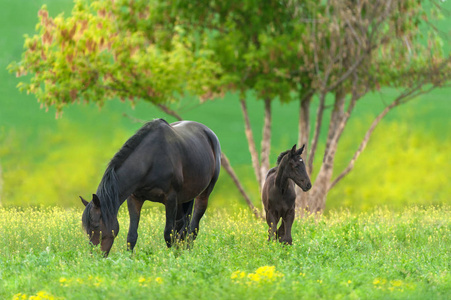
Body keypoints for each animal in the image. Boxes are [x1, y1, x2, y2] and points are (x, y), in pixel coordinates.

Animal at [82, 119, 223, 255]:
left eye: (96, 226)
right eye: (85, 229)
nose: (95, 255)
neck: (151, 160)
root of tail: (209, 133)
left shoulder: (170, 199)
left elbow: (168, 234)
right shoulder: (135, 198)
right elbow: (132, 236)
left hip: (203, 194)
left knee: (193, 228)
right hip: (183, 199)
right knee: (182, 226)